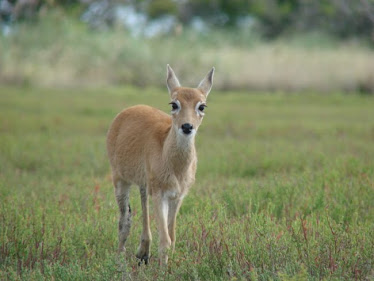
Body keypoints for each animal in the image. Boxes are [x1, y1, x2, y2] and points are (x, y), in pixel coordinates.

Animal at [106, 64, 215, 264]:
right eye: (174, 104)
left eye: (201, 105)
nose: (187, 126)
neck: (175, 166)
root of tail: (128, 110)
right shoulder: (160, 194)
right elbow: (164, 240)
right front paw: (164, 268)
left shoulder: (177, 197)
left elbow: (172, 237)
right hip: (120, 180)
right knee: (124, 220)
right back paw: (120, 257)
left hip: (144, 183)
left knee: (142, 202)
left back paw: (143, 252)